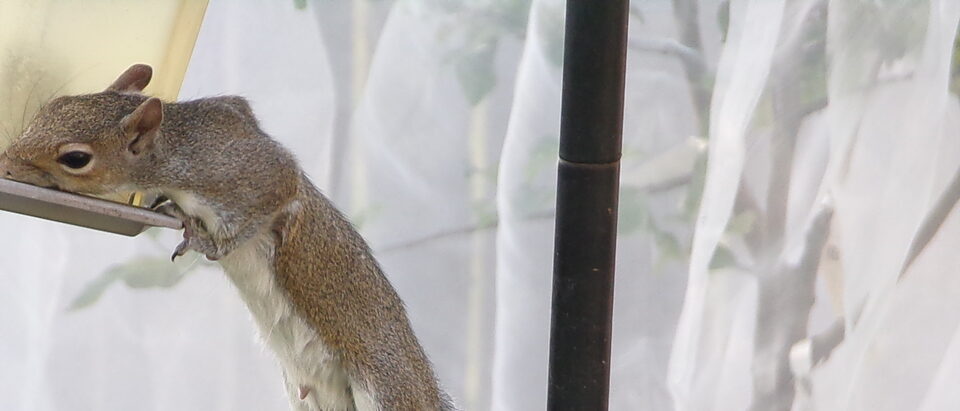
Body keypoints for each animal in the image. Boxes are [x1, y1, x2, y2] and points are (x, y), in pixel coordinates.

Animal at [0, 64, 455, 411]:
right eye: (51, 106)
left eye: (76, 159)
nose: (5, 164)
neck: (180, 148)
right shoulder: (232, 110)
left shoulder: (250, 174)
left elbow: (263, 205)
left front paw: (201, 239)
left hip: (388, 391)